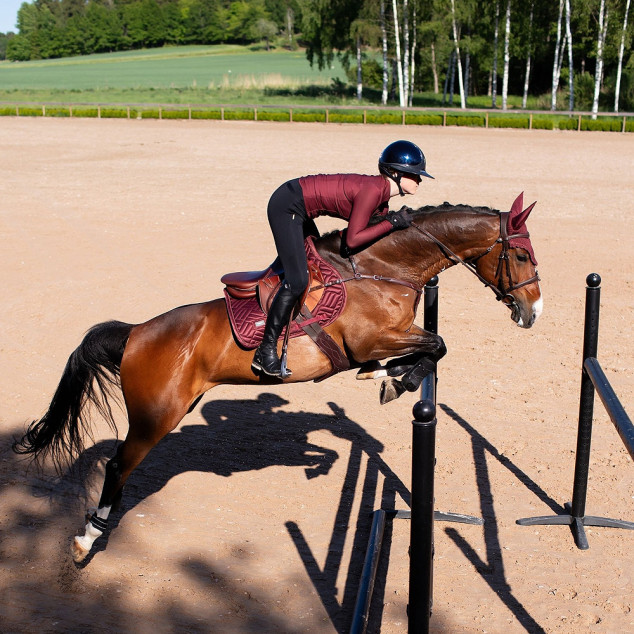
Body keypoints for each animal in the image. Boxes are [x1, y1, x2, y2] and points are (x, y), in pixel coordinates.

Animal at [12, 194, 540, 564]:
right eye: (521, 257)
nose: (531, 312)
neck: (382, 268)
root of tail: (136, 332)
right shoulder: (369, 340)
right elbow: (436, 345)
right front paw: (395, 379)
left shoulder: (391, 336)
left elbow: (429, 347)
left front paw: (389, 376)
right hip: (154, 417)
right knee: (118, 465)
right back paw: (86, 538)